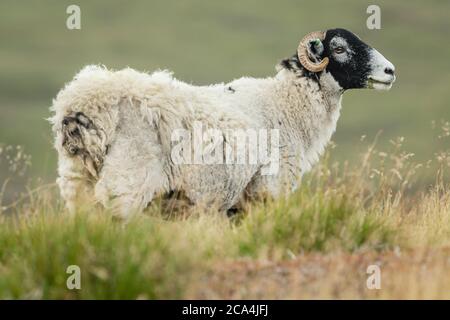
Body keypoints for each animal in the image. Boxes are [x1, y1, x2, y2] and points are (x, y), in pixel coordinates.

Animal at [51, 28, 396, 218]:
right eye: (339, 48)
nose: (391, 71)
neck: (285, 103)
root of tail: (85, 101)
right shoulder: (268, 188)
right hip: (126, 183)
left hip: (78, 183)